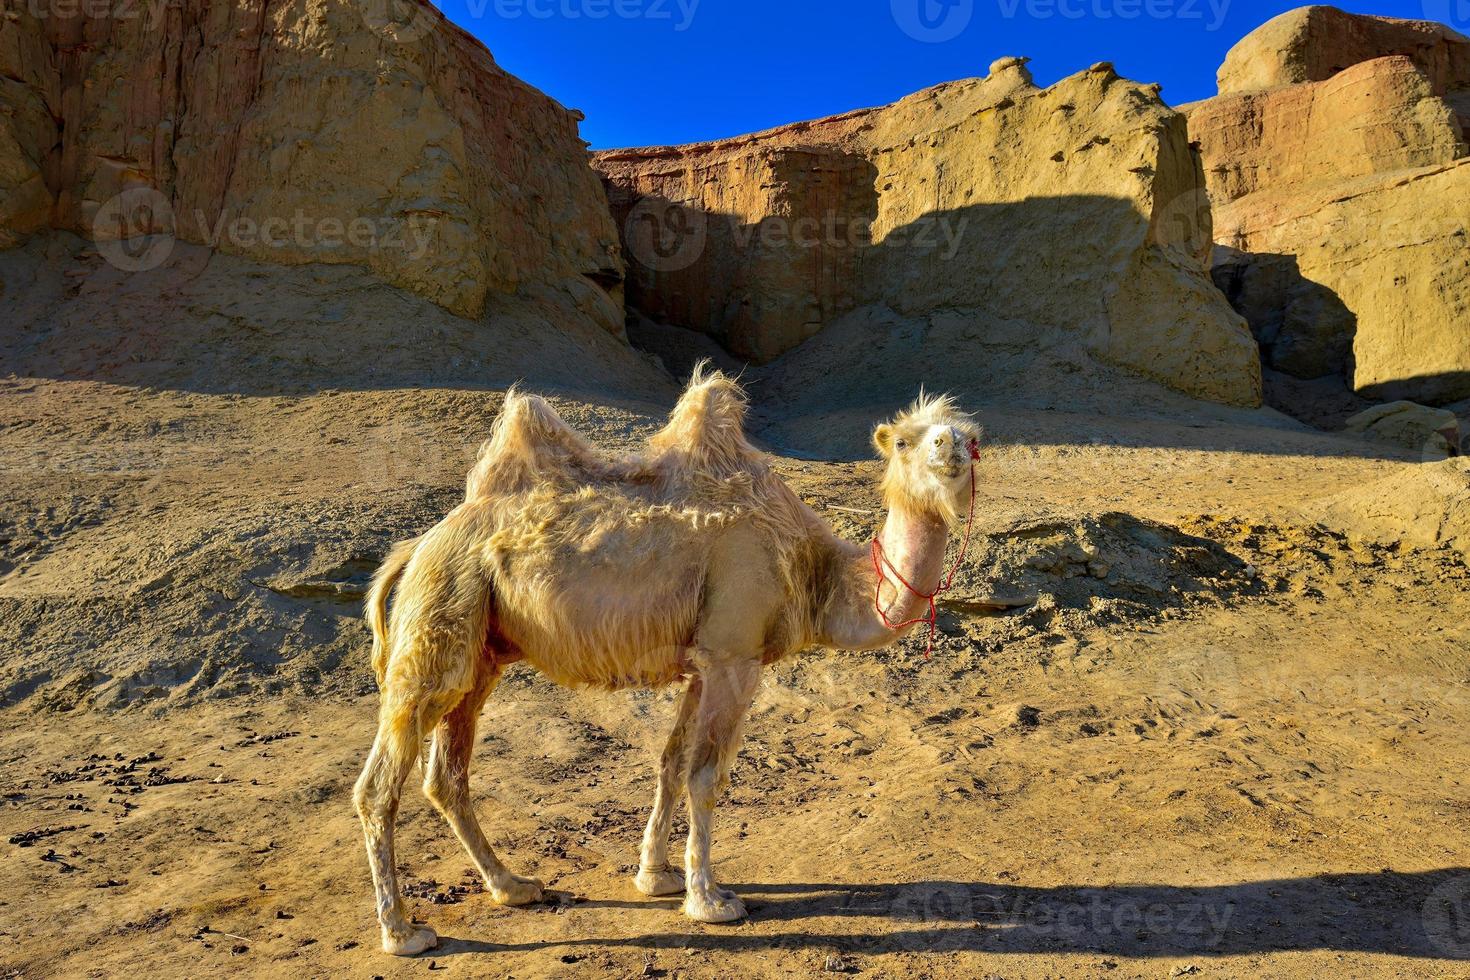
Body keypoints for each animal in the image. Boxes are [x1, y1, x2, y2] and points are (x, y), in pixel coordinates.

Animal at [352, 364, 976, 952]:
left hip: (481, 651)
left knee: (446, 775)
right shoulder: (734, 657)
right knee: (381, 782)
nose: (949, 445)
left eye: (970, 438)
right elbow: (706, 776)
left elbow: (672, 764)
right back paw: (402, 932)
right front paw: (710, 900)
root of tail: (418, 546)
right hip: (439, 622)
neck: (812, 570)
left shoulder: (704, 664)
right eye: (904, 441)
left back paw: (514, 887)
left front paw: (657, 875)